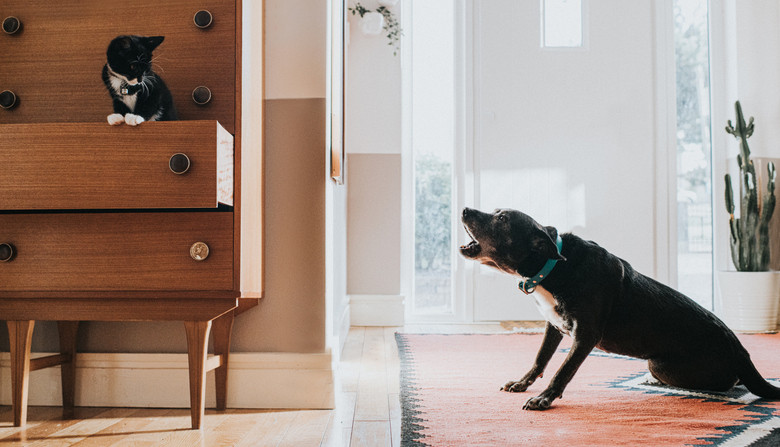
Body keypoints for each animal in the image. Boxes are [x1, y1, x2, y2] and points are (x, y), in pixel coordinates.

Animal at [458, 208, 780, 412]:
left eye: (502, 218)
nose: (464, 209)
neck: (553, 266)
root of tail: (742, 353)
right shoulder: (554, 326)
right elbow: (540, 359)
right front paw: (522, 383)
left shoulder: (584, 336)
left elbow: (563, 370)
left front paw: (544, 399)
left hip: (660, 363)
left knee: (726, 383)